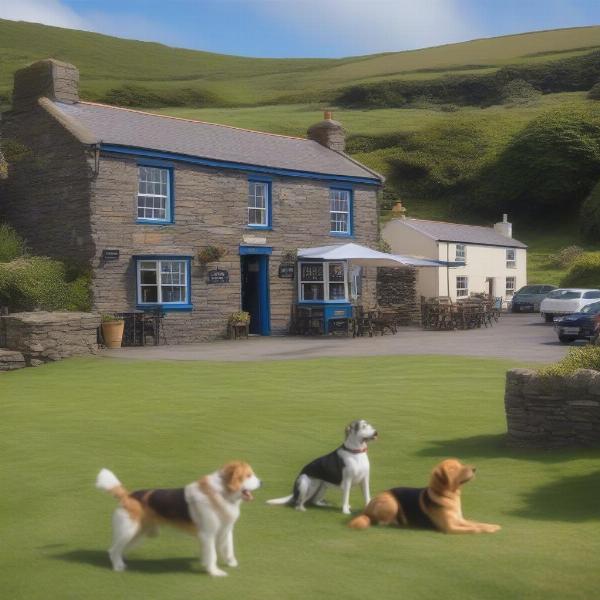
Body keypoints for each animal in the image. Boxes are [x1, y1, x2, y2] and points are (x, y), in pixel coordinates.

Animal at [95, 462, 260, 576]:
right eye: (248, 475)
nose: (262, 482)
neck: (221, 492)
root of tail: (128, 495)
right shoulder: (208, 535)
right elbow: (212, 555)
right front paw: (214, 572)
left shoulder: (225, 530)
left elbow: (228, 549)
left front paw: (231, 563)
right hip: (128, 530)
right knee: (113, 549)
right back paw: (118, 567)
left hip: (138, 534)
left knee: (119, 549)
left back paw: (122, 562)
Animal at [346, 460, 502, 536]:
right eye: (453, 469)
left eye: (461, 464)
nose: (474, 469)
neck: (448, 496)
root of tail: (366, 509)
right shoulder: (450, 527)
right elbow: (474, 529)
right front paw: (488, 531)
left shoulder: (460, 520)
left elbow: (478, 523)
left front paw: (493, 526)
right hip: (392, 503)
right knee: (381, 522)